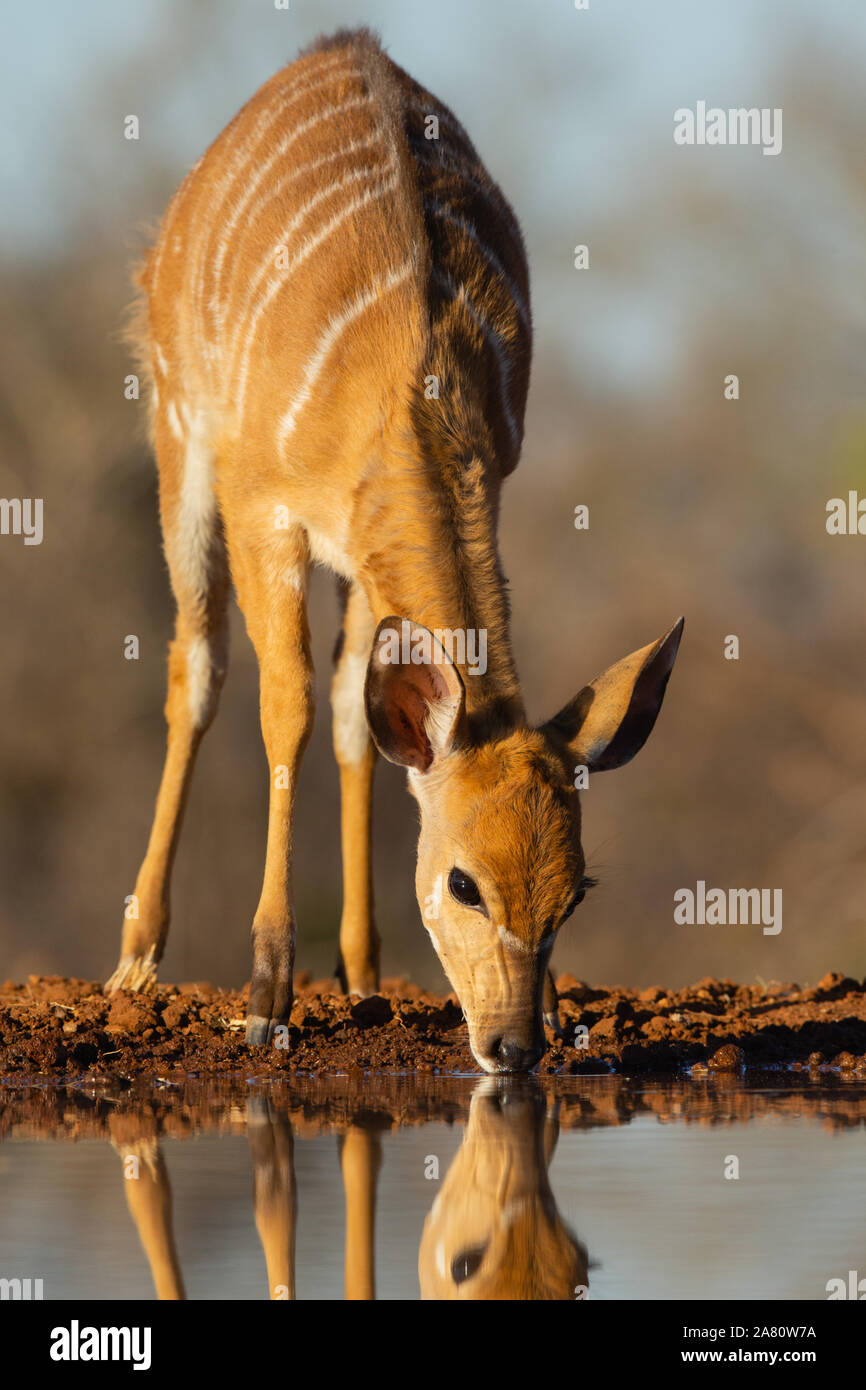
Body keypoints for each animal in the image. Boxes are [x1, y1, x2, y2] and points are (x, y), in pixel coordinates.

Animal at [109, 29, 683, 1073]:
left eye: (574, 892)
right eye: (463, 883)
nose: (510, 1046)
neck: (403, 375)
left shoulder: (395, 530)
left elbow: (348, 715)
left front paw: (365, 979)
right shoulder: (268, 512)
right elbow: (284, 706)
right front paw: (266, 994)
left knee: (349, 711)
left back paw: (363, 972)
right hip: (180, 436)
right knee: (198, 667)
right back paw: (137, 959)